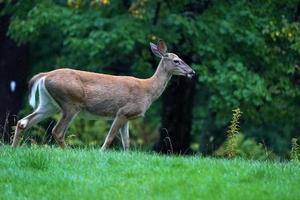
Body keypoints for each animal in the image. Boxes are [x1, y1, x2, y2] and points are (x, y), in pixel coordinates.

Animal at [11, 39, 195, 150]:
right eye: (176, 60)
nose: (192, 72)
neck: (148, 90)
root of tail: (44, 76)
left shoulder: (128, 116)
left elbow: (126, 142)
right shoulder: (123, 111)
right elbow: (110, 137)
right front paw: (101, 152)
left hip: (49, 104)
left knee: (23, 122)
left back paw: (13, 149)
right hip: (70, 102)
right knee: (57, 131)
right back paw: (68, 151)